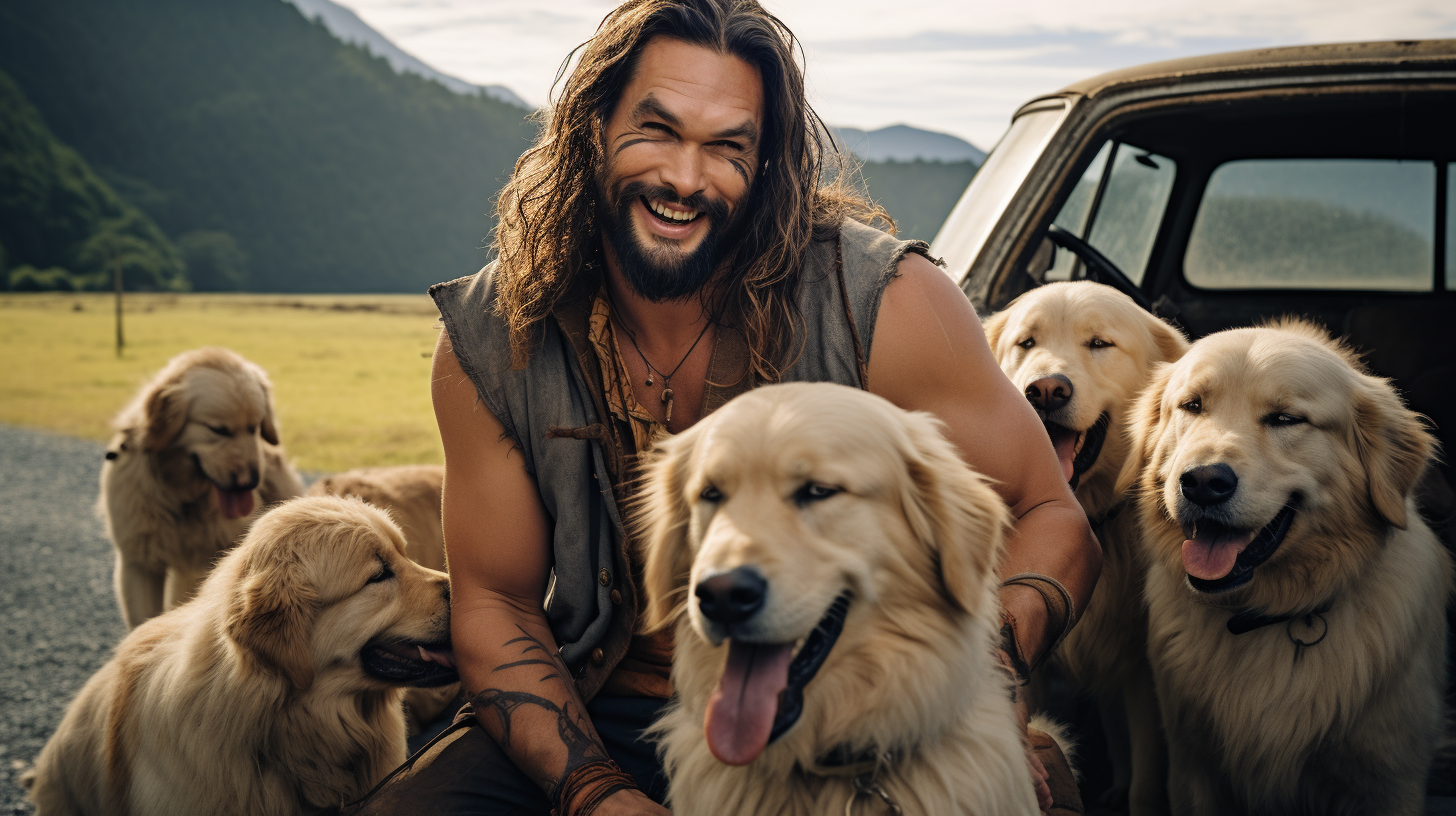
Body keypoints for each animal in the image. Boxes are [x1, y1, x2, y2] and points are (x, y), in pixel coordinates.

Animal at [1118, 320, 1450, 816]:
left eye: (1285, 419)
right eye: (1192, 406)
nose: (1202, 482)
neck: (1269, 618)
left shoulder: (1389, 782)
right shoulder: (1193, 769)